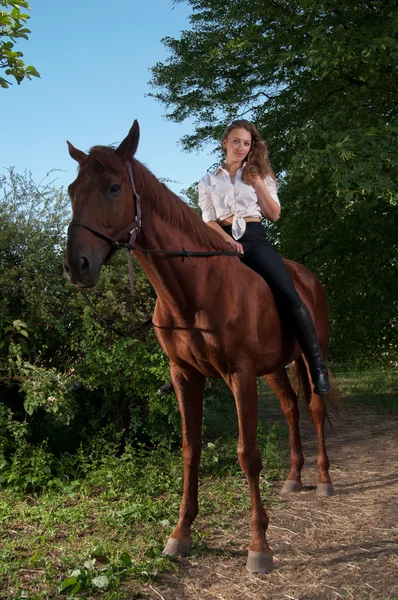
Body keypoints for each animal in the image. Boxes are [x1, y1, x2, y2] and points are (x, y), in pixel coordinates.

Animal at [64, 119, 338, 576]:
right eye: (71, 189)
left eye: (114, 187)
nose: (76, 265)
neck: (194, 292)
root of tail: (307, 278)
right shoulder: (185, 376)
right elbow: (190, 450)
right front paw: (180, 534)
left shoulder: (239, 375)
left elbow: (249, 455)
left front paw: (259, 546)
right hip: (274, 368)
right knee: (290, 407)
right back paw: (294, 477)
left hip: (305, 356)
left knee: (314, 407)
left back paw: (324, 480)